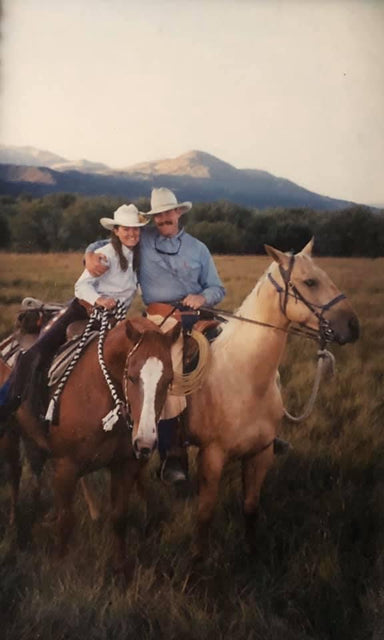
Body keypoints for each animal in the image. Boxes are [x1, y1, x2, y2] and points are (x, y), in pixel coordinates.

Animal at [12, 316, 179, 568]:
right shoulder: (66, 466)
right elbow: (66, 520)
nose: (145, 443)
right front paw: (59, 562)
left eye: (168, 380)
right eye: (131, 376)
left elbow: (119, 517)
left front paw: (120, 568)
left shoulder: (124, 466)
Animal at [186, 240, 360, 556]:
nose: (353, 326)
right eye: (310, 281)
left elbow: (251, 507)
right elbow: (204, 514)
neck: (244, 378)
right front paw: (198, 561)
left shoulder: (261, 454)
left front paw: (252, 553)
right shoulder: (212, 456)